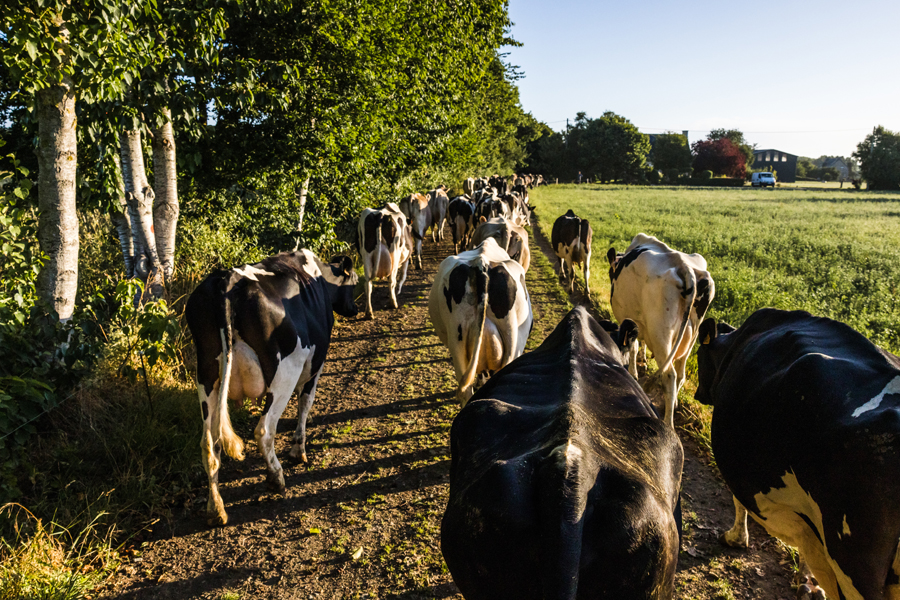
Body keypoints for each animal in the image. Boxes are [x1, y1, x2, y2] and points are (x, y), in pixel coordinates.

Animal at [186, 250, 358, 524]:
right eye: (353, 281)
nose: (355, 308)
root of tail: (226, 281)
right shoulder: (316, 362)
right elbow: (305, 403)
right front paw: (298, 451)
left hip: (206, 376)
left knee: (209, 443)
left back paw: (216, 509)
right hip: (284, 373)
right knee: (264, 430)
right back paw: (276, 478)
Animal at [604, 234, 716, 426]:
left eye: (611, 274)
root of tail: (684, 267)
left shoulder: (632, 319)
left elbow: (632, 347)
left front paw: (633, 373)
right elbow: (640, 344)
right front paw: (643, 359)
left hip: (661, 333)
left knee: (669, 375)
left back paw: (668, 424)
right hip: (692, 336)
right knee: (680, 374)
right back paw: (673, 404)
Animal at [700, 310, 900, 600]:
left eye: (698, 355)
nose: (698, 393)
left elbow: (739, 501)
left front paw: (735, 538)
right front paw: (806, 580)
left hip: (853, 564)